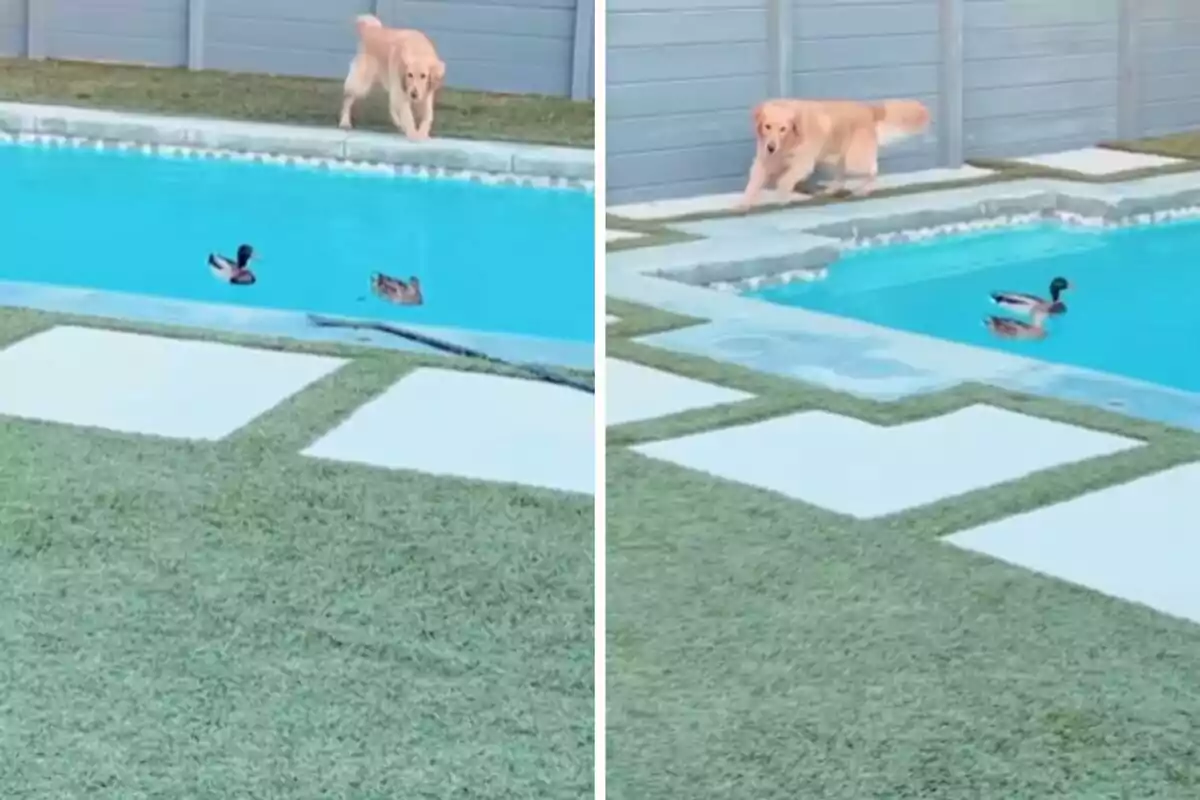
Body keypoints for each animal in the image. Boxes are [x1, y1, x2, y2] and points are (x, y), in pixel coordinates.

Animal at [739, 97, 926, 211]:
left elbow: (784, 180)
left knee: (873, 171)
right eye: (767, 126)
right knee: (841, 178)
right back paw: (830, 190)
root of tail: (868, 109)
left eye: (783, 129)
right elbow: (753, 183)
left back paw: (863, 190)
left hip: (854, 159)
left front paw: (782, 198)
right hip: (834, 157)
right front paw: (742, 205)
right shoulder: (763, 161)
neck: (789, 141)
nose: (771, 147)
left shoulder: (803, 163)